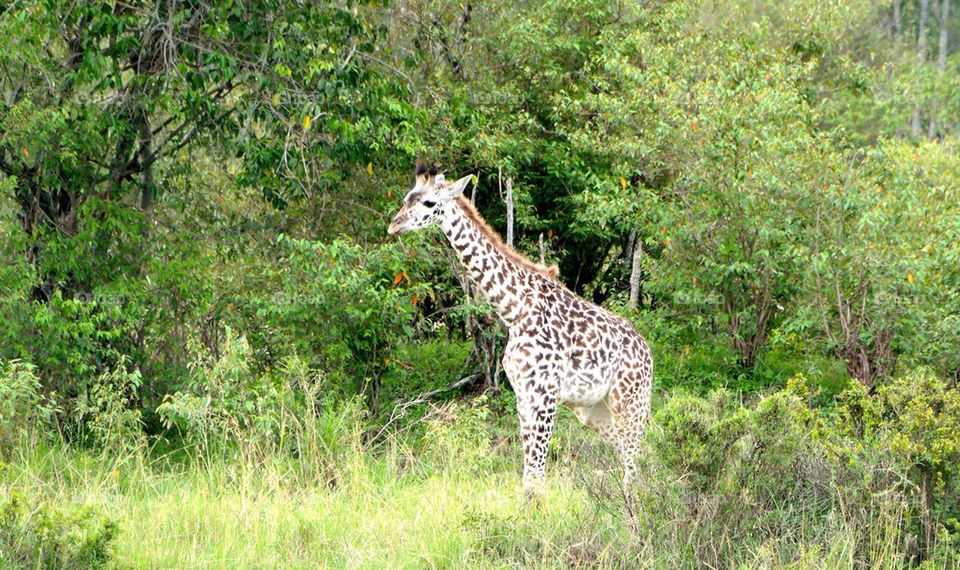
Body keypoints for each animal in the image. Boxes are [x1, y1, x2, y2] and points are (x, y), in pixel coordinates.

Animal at [388, 163, 652, 492]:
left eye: (429, 203)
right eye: (406, 198)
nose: (394, 225)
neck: (514, 310)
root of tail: (647, 350)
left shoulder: (546, 394)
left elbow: (536, 476)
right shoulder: (524, 394)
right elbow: (529, 476)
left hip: (629, 401)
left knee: (634, 461)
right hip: (593, 409)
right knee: (632, 457)